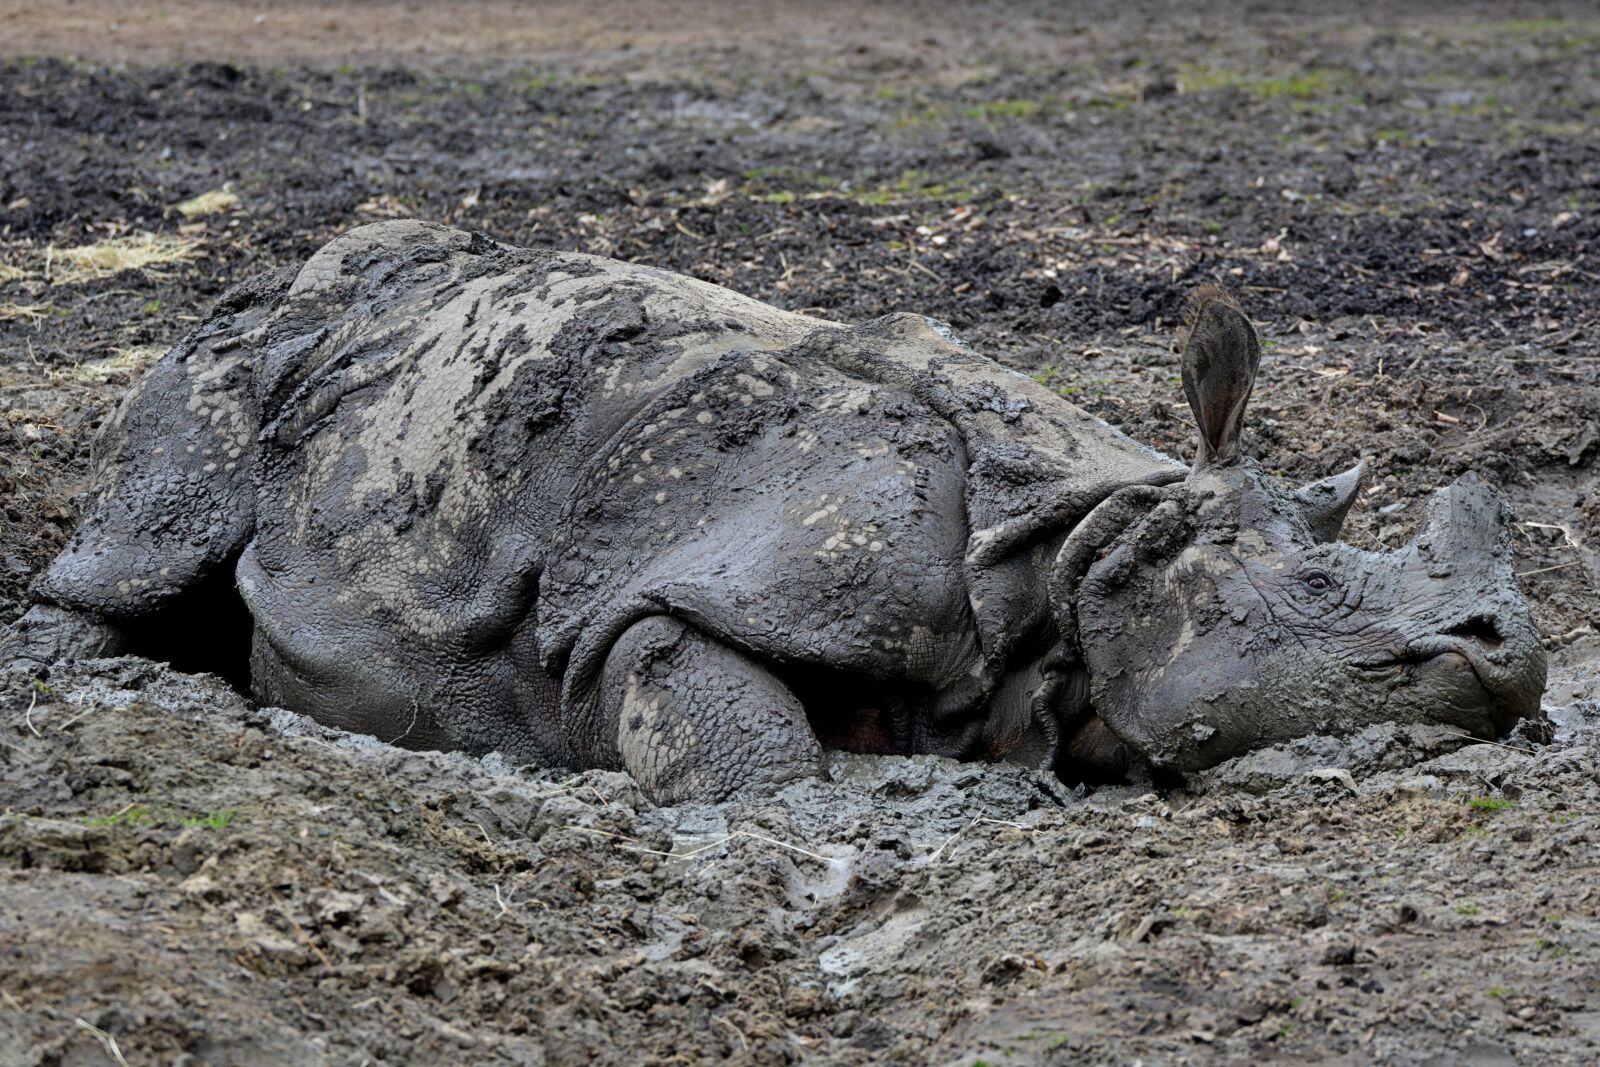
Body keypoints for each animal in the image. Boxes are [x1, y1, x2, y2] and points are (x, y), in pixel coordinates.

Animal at [3, 220, 1548, 801]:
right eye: (1317, 588)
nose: (1514, 657)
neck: (1082, 540)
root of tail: (296, 266)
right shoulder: (696, 587)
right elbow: (739, 738)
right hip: (227, 363)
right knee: (155, 536)